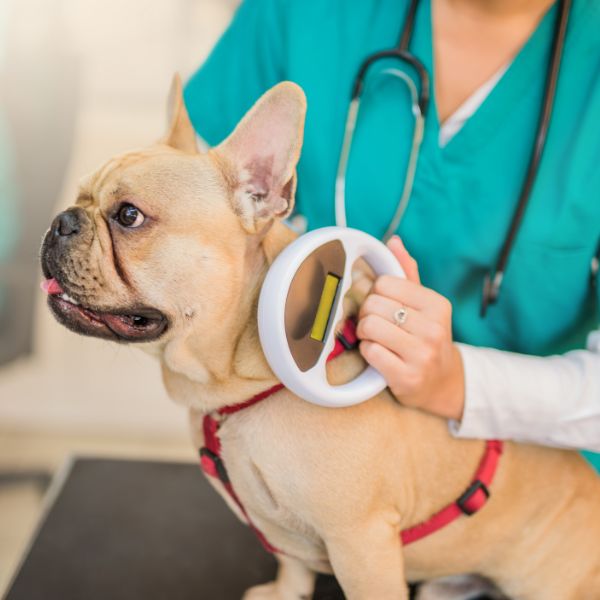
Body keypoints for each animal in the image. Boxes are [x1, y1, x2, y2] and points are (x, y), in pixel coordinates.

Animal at [39, 77, 596, 596]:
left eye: (128, 216)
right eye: (79, 196)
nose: (60, 221)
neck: (236, 385)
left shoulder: (362, 544)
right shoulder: (284, 533)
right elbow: (293, 564)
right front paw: (286, 593)